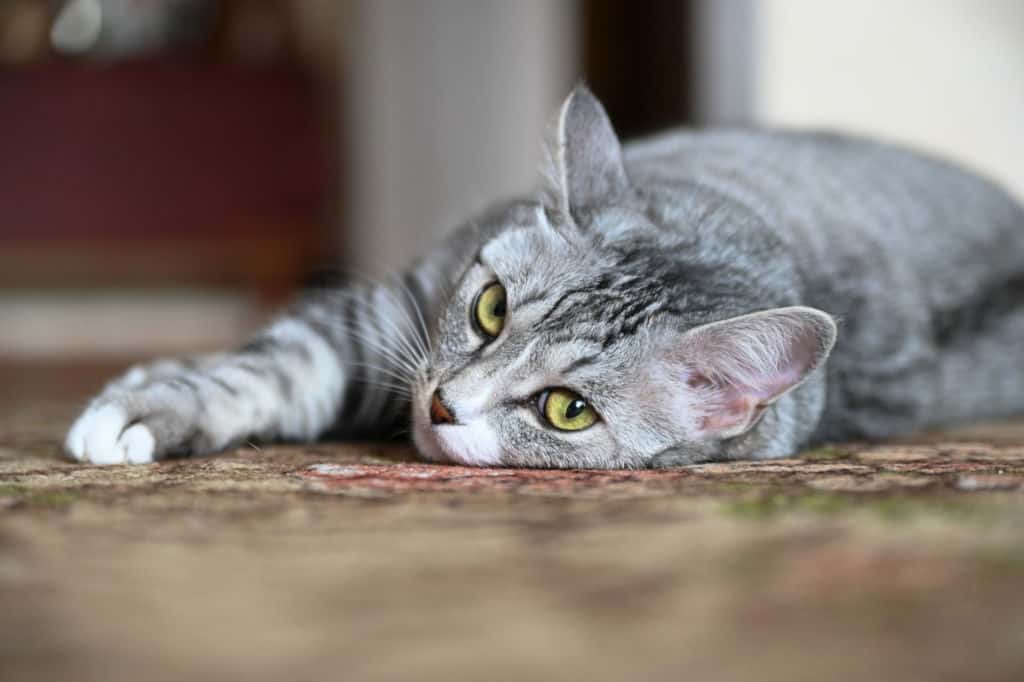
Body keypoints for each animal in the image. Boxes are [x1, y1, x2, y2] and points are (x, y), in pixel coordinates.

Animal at [68, 86, 1024, 466]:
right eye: (490, 309)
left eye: (568, 410)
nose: (443, 406)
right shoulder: (383, 313)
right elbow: (267, 368)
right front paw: (152, 407)